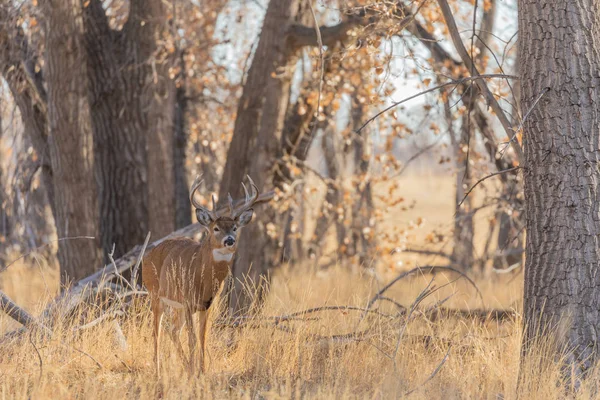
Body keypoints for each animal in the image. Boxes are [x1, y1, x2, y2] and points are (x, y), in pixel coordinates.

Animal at [142, 175, 268, 372]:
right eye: (216, 228)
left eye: (234, 228)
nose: (229, 240)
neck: (203, 279)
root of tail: (146, 256)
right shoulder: (187, 301)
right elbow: (192, 340)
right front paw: (195, 372)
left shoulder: (207, 305)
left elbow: (202, 338)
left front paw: (201, 371)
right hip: (155, 294)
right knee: (157, 331)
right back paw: (158, 369)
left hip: (175, 305)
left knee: (172, 330)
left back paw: (185, 366)